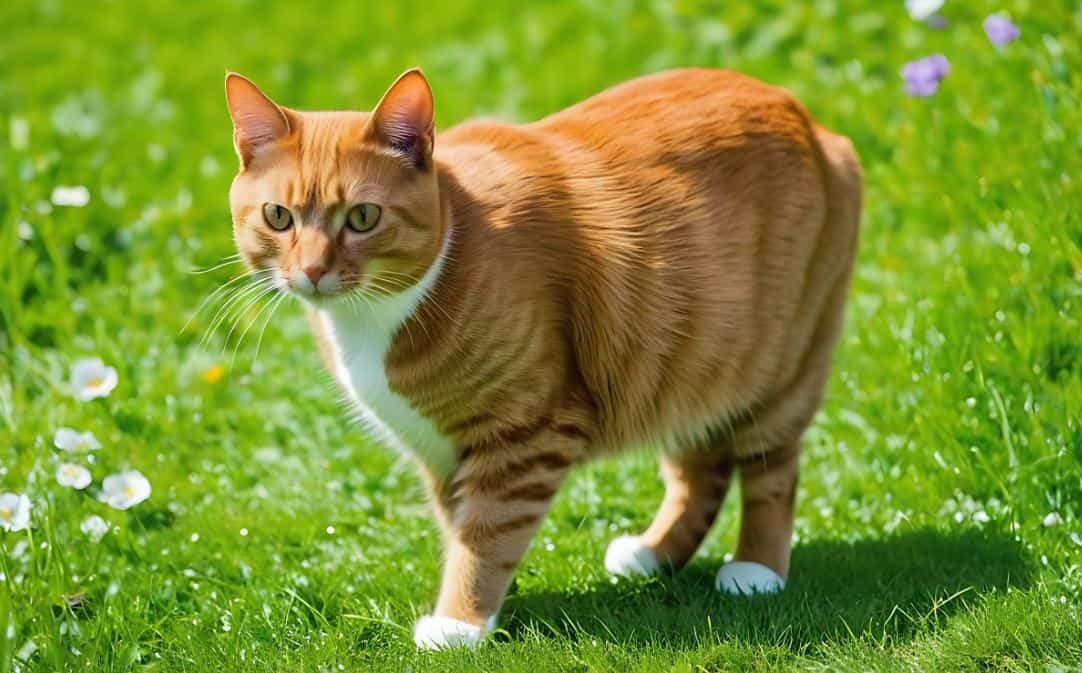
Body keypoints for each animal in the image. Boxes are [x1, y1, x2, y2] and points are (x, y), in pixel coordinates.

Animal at [221, 67, 861, 649]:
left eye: (361, 217)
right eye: (278, 216)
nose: (311, 271)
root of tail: (806, 116)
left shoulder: (527, 433)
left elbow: (487, 534)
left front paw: (459, 623)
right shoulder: (439, 450)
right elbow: (460, 528)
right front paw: (480, 611)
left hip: (781, 367)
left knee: (771, 473)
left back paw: (756, 569)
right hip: (685, 360)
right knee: (701, 467)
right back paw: (653, 554)